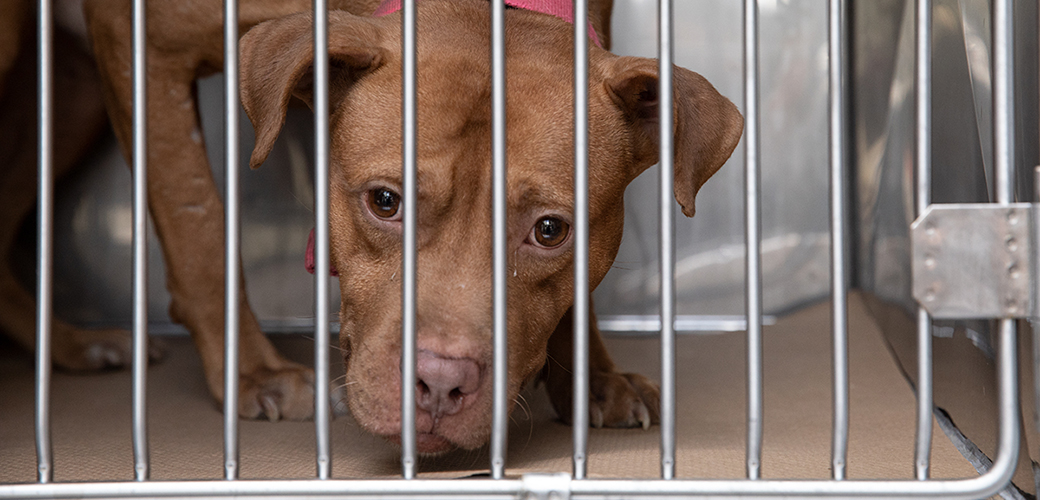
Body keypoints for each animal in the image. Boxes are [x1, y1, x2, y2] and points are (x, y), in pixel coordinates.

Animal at [4, 0, 744, 453]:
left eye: (550, 230)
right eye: (384, 202)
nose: (440, 385)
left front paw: (591, 377)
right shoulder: (144, 40)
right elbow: (199, 223)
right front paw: (254, 374)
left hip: (65, 93)